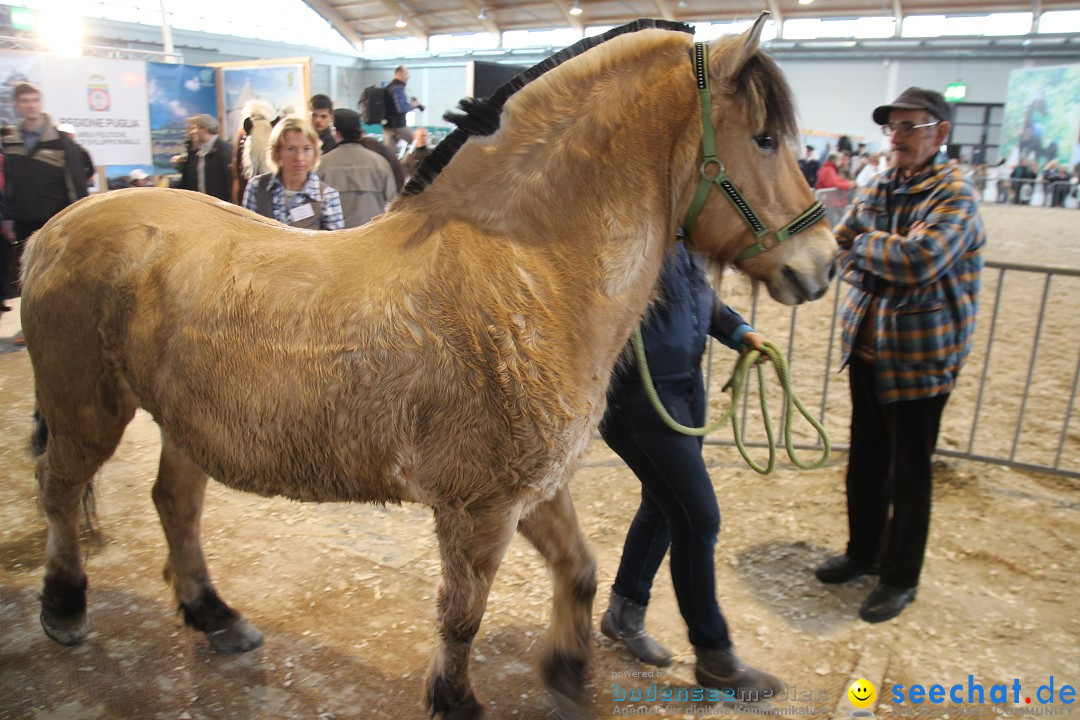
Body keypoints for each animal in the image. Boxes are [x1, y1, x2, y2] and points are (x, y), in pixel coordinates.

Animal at [23, 15, 833, 720]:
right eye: (764, 138)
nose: (823, 264)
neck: (528, 270)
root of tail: (55, 228)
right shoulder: (478, 510)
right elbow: (462, 616)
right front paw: (457, 701)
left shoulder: (534, 490)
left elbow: (579, 570)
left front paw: (568, 678)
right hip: (88, 410)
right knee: (58, 487)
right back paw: (63, 607)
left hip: (183, 424)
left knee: (174, 505)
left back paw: (215, 616)